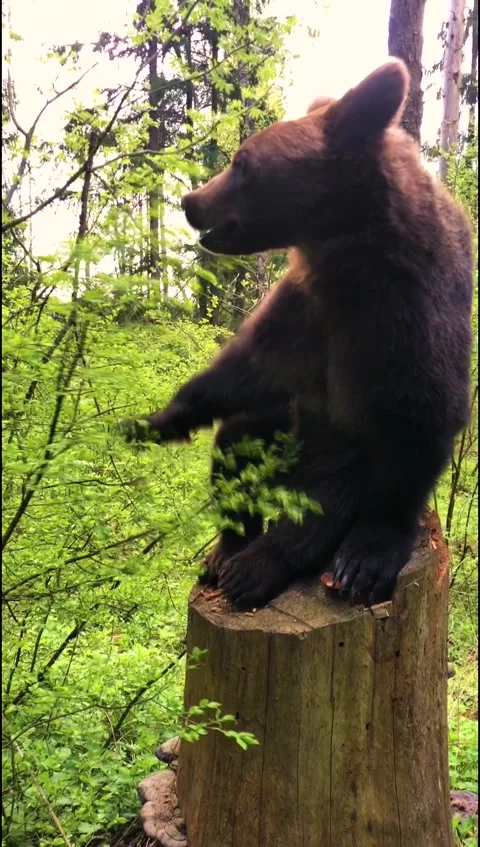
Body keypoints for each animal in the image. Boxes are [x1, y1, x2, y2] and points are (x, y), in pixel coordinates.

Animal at [124, 59, 473, 609]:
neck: (349, 258)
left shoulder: (408, 318)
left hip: (330, 461)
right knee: (236, 444)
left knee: (317, 511)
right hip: (283, 433)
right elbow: (248, 366)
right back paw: (226, 550)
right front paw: (157, 420)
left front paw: (365, 561)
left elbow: (421, 420)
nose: (189, 200)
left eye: (243, 162)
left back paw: (255, 568)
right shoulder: (306, 309)